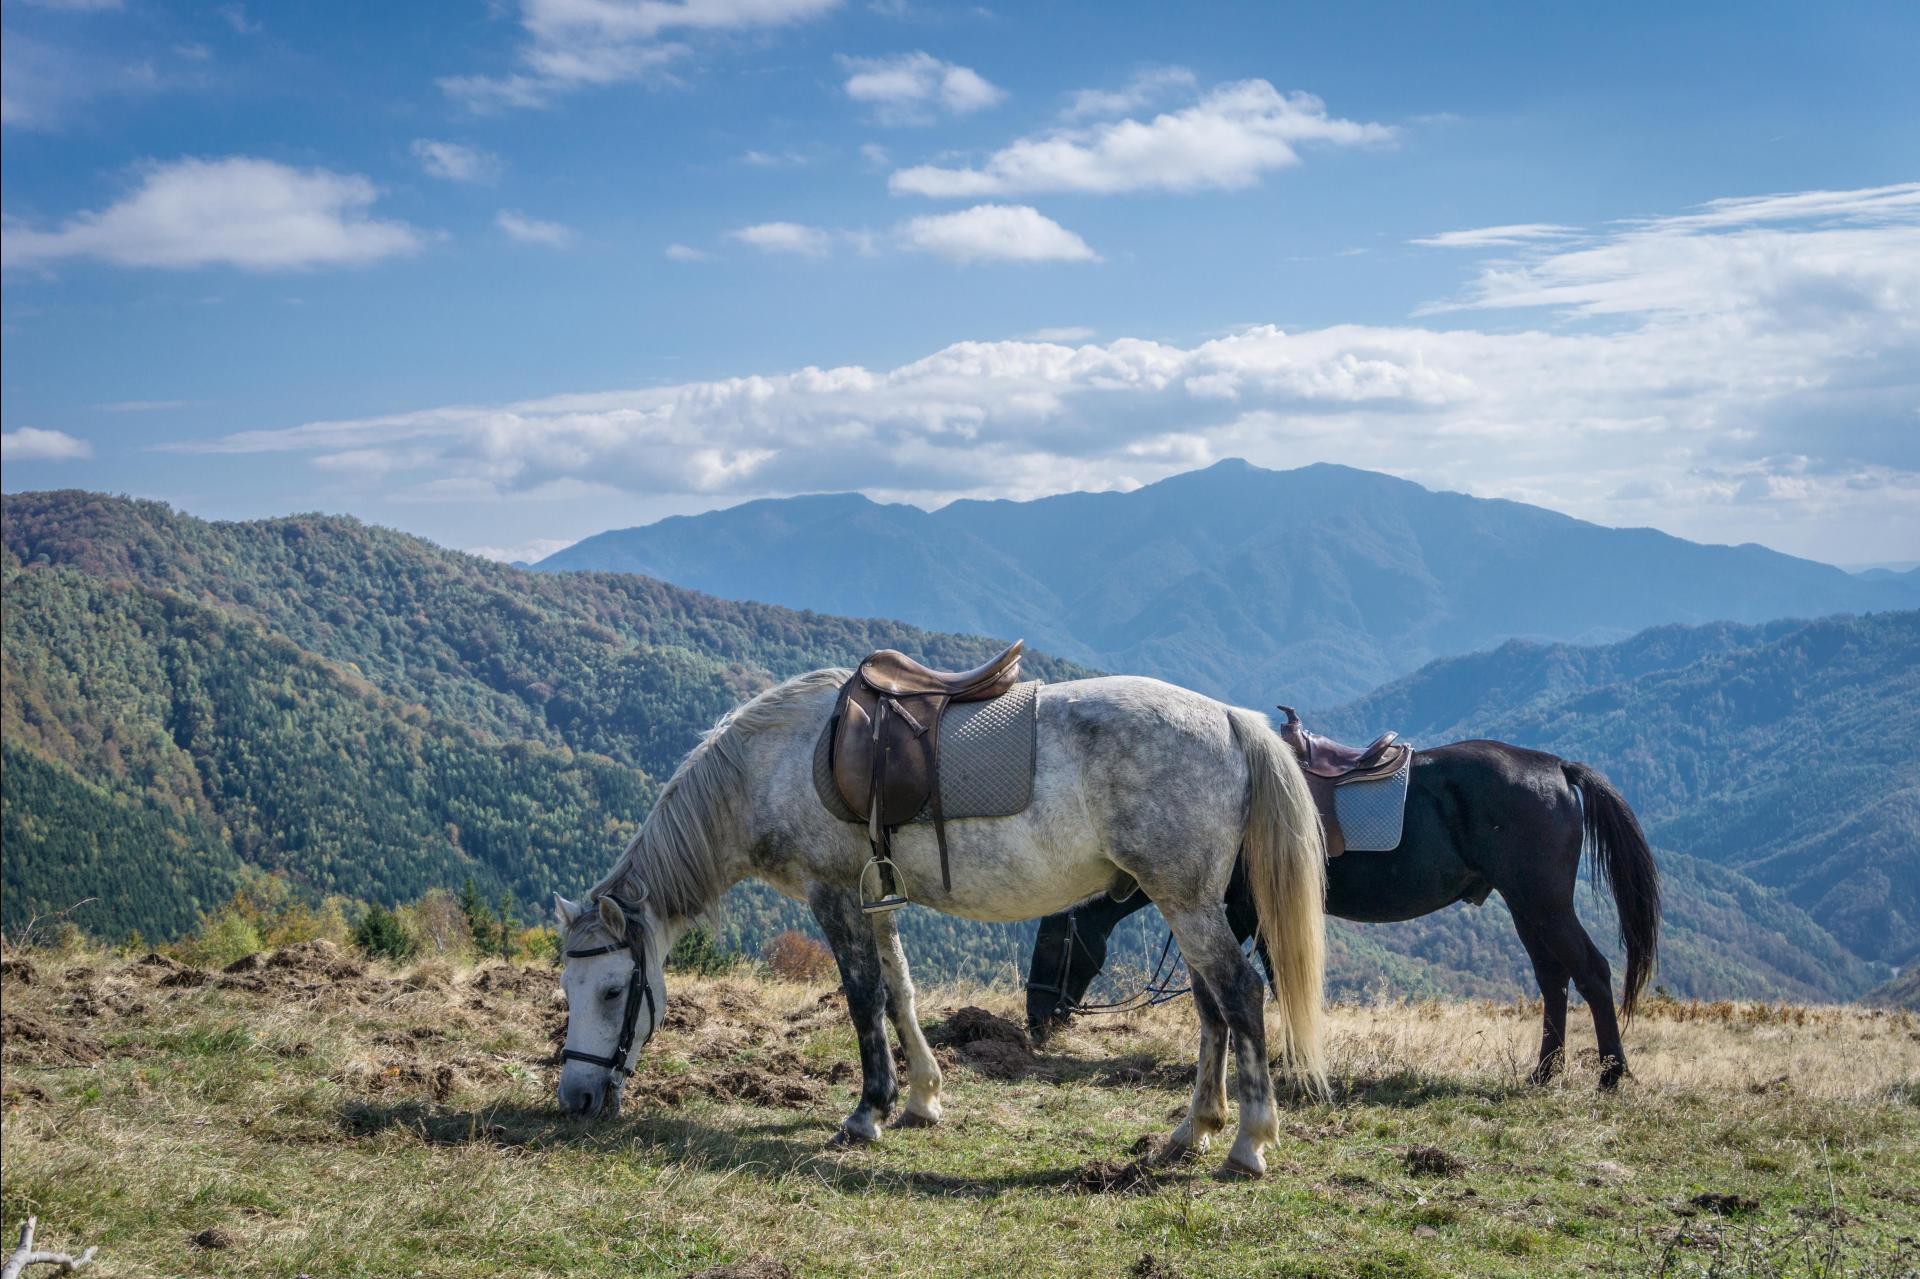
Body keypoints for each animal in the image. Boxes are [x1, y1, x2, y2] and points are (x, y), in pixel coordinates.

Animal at [556, 668, 1328, 1175]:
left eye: (614, 990)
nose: (577, 1097)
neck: (767, 764)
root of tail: (1230, 718)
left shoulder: (833, 895)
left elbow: (862, 999)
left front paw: (867, 1111)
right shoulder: (877, 899)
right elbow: (899, 992)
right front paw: (922, 1098)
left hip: (1186, 901)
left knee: (1240, 995)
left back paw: (1248, 1141)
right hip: (1187, 901)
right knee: (1211, 1007)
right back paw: (1194, 1127)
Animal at [1021, 737, 1666, 1083]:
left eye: (1052, 942)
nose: (1036, 1021)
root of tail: (1554, 767)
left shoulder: (1244, 909)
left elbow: (1262, 980)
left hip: (1541, 901)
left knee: (1591, 972)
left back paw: (1611, 1074)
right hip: (1527, 907)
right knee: (1552, 978)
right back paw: (1544, 1071)